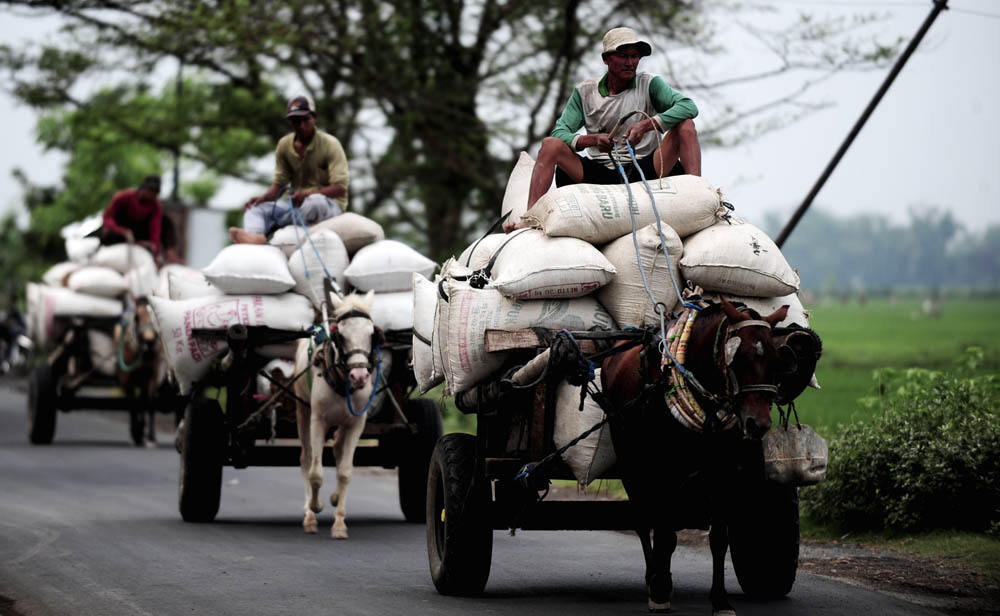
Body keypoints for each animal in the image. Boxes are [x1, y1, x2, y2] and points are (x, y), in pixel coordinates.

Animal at [114, 294, 162, 446]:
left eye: (155, 316)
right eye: (136, 317)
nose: (149, 341)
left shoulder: (153, 374)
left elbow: (149, 403)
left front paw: (151, 437)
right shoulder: (127, 377)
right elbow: (133, 403)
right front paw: (136, 432)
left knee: (142, 399)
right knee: (133, 401)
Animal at [292, 292, 382, 536]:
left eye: (372, 334)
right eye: (340, 336)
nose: (359, 376)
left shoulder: (356, 423)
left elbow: (345, 471)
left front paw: (340, 523)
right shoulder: (318, 421)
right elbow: (315, 473)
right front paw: (315, 508)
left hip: (343, 421)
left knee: (338, 450)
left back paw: (334, 498)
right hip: (302, 409)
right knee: (306, 458)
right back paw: (309, 513)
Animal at [596, 296, 792, 612]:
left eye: (776, 360)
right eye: (738, 358)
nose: (758, 424)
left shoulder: (722, 468)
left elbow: (718, 537)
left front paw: (721, 600)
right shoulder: (666, 467)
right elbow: (664, 531)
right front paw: (659, 592)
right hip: (631, 460)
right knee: (643, 519)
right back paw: (654, 577)